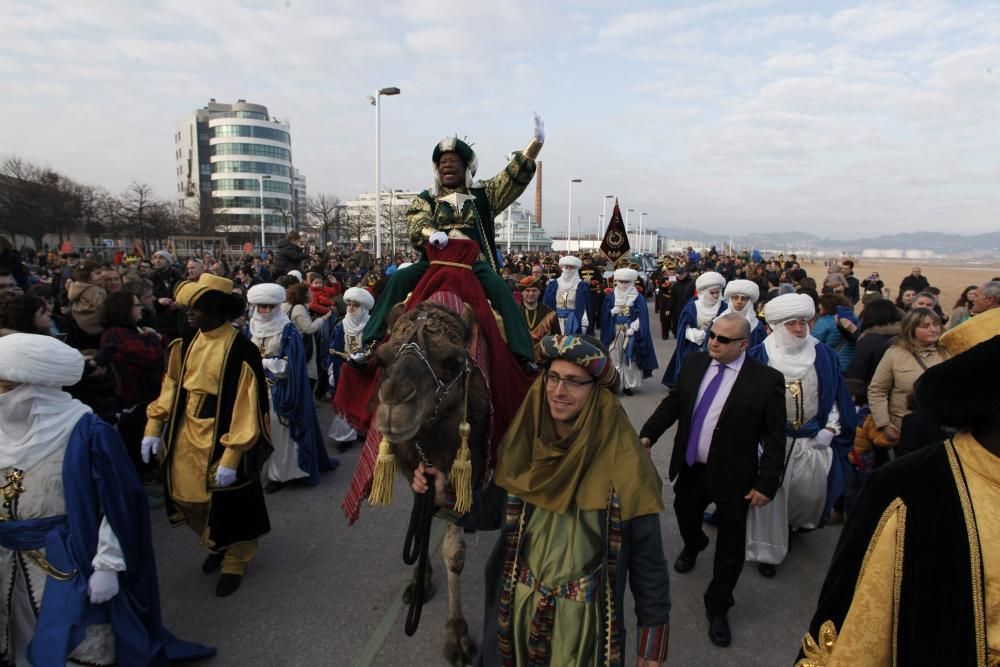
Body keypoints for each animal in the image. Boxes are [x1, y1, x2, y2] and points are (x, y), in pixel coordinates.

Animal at [374, 298, 490, 667]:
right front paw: (419, 583)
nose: (394, 404)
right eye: (381, 359)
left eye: (452, 362)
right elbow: (420, 517)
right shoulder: (416, 469)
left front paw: (457, 635)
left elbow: (453, 552)